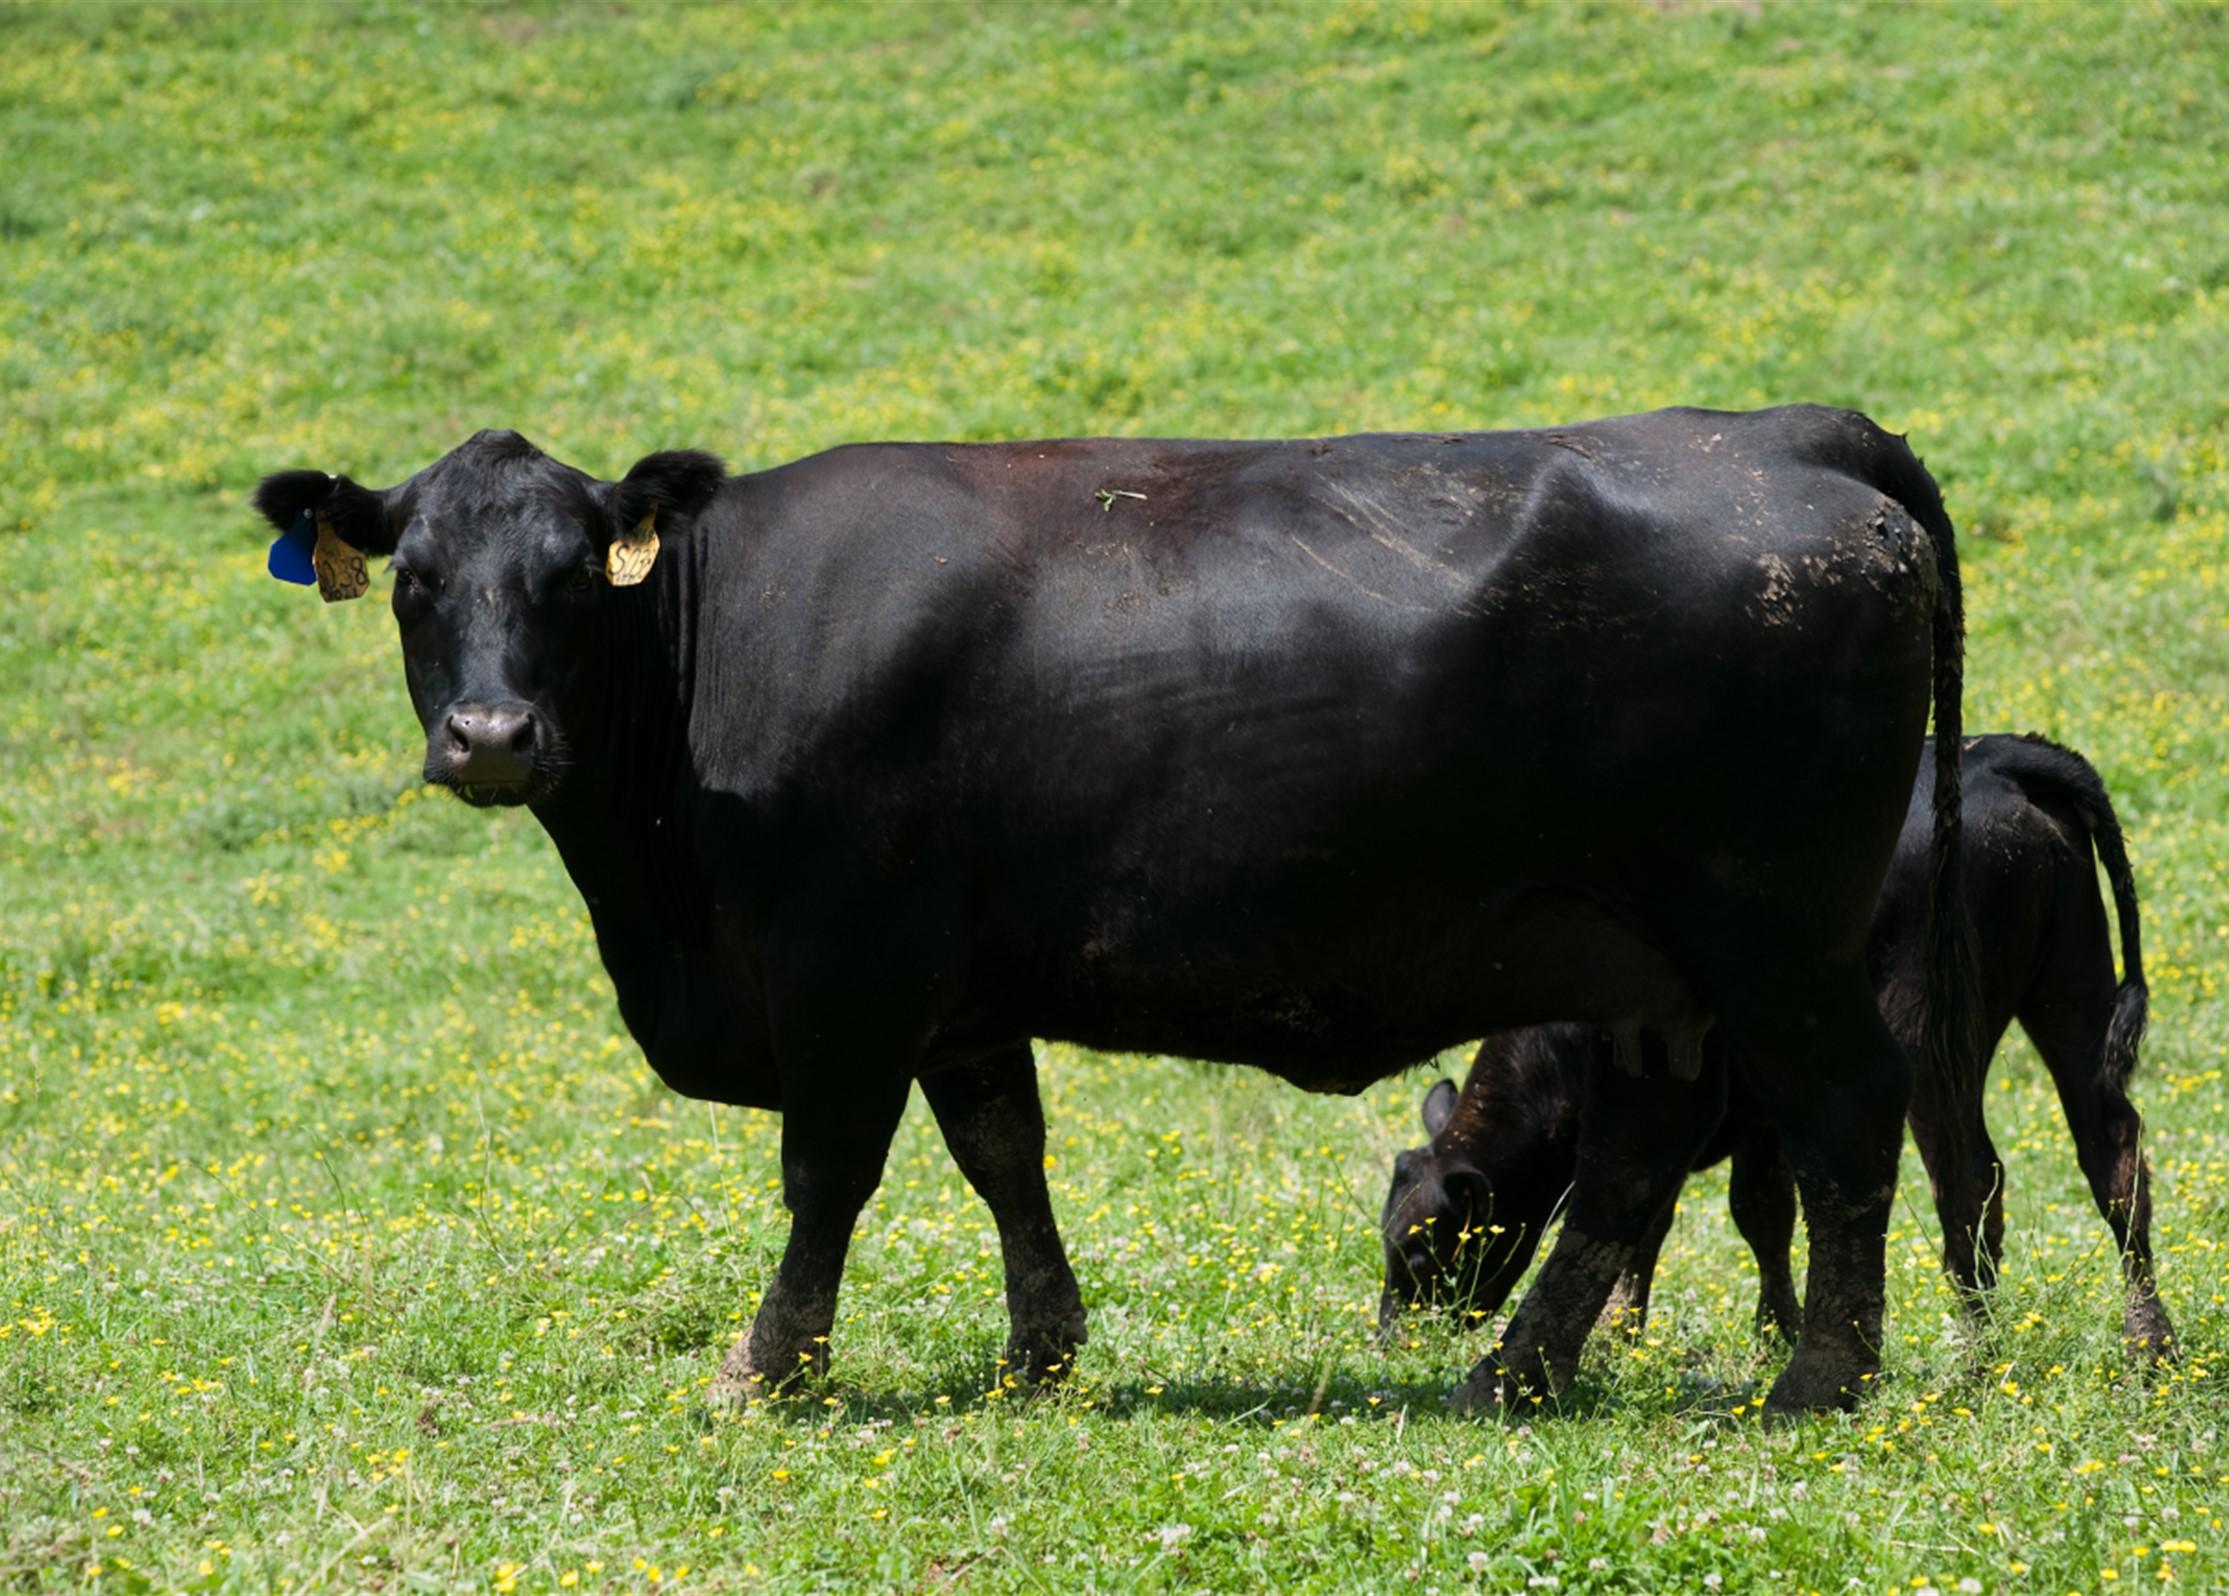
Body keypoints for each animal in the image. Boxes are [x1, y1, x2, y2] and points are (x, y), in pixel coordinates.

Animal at [252, 405, 1979, 1417]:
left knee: (1845, 1111)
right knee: (1631, 1156)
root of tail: (1789, 433)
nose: (490, 737)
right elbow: (1000, 1154)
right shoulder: (956, 987)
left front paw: (769, 1363)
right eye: (417, 580)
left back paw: (1819, 1378)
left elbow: (830, 1173)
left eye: (568, 578)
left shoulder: (847, 969)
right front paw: (1041, 1352)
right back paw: (1519, 1373)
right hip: (1640, 961)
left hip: (1774, 931)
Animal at [1373, 731, 2175, 1355]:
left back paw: (1976, 1350)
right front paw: (1748, 1332)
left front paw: (1626, 1333)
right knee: (2112, 1152)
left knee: (1971, 1177)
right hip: (2072, 986)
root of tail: (1998, 760)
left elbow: (1678, 1213)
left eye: (1417, 1249)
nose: (1392, 1340)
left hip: (1930, 1029)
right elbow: (1749, 1212)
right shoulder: (1749, 1107)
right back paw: (2148, 1344)